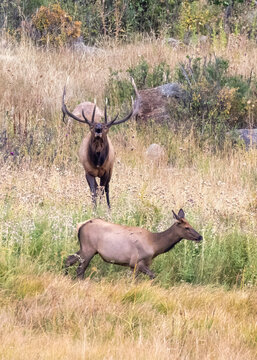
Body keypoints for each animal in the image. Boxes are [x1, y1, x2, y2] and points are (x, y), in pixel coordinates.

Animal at [64, 208, 202, 282]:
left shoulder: (133, 265)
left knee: (68, 260)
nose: (200, 236)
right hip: (88, 249)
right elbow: (152, 275)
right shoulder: (137, 261)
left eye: (190, 224)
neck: (155, 245)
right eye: (186, 227)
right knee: (80, 269)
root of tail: (80, 225)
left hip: (84, 249)